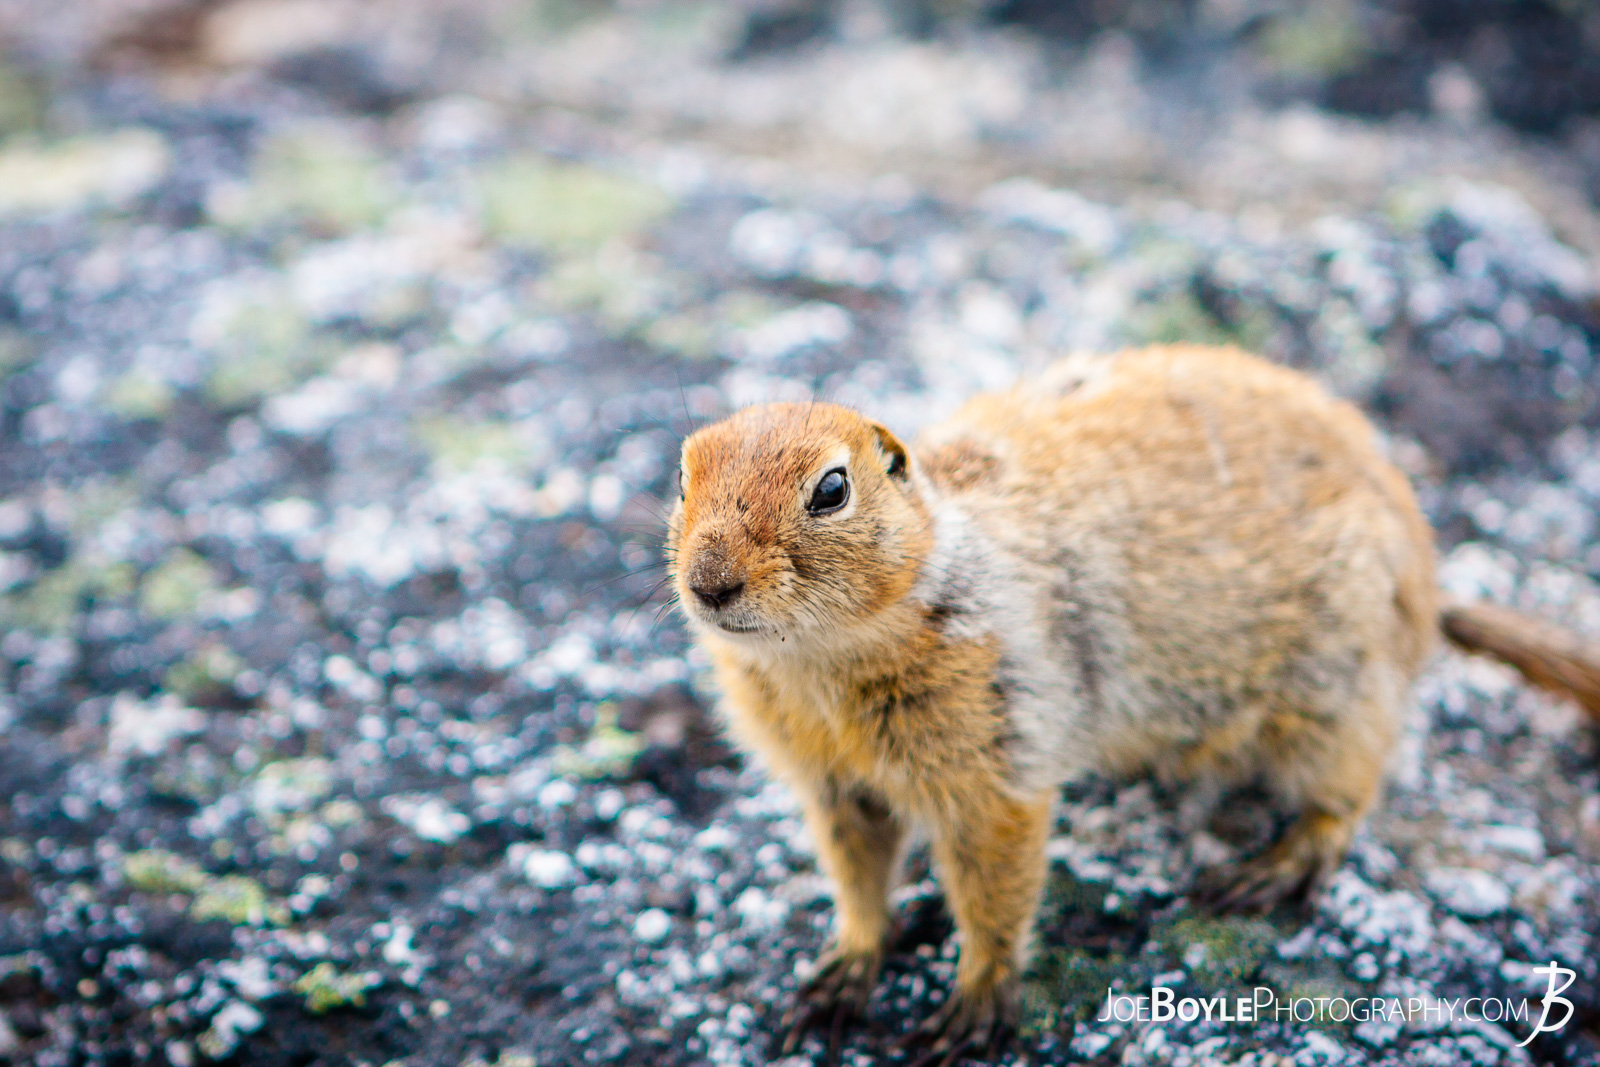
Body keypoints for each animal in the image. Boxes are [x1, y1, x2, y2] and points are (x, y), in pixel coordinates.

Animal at [663, 343, 1600, 1062]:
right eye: (681, 476)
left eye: (831, 489)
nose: (709, 582)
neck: (818, 664)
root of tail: (1431, 580)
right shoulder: (829, 781)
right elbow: (856, 874)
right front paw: (841, 971)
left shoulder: (999, 753)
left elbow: (997, 884)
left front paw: (973, 1002)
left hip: (1340, 686)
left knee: (1349, 789)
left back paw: (1273, 865)